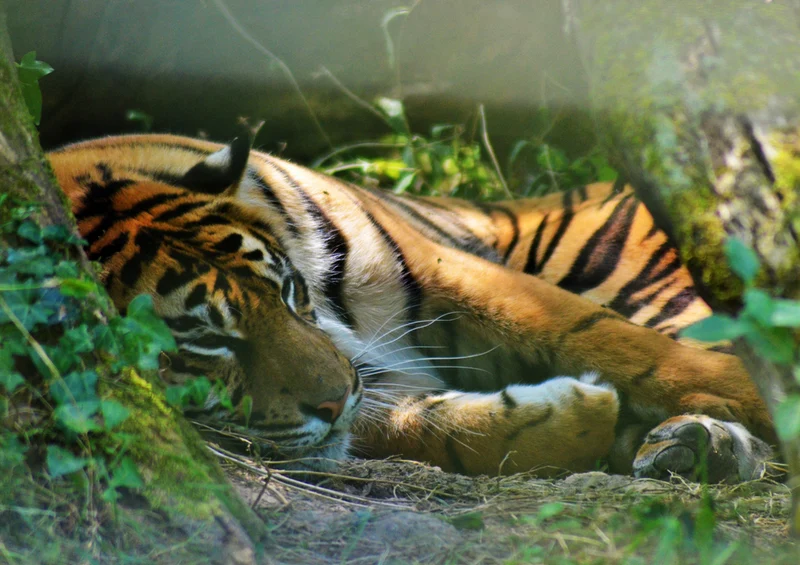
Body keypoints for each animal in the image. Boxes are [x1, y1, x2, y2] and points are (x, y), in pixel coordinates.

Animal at [48, 133, 776, 482]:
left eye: (289, 292)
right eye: (205, 341)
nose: (337, 396)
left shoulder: (439, 267)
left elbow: (600, 335)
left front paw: (751, 399)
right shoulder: (365, 390)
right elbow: (430, 427)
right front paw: (569, 418)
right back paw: (692, 447)